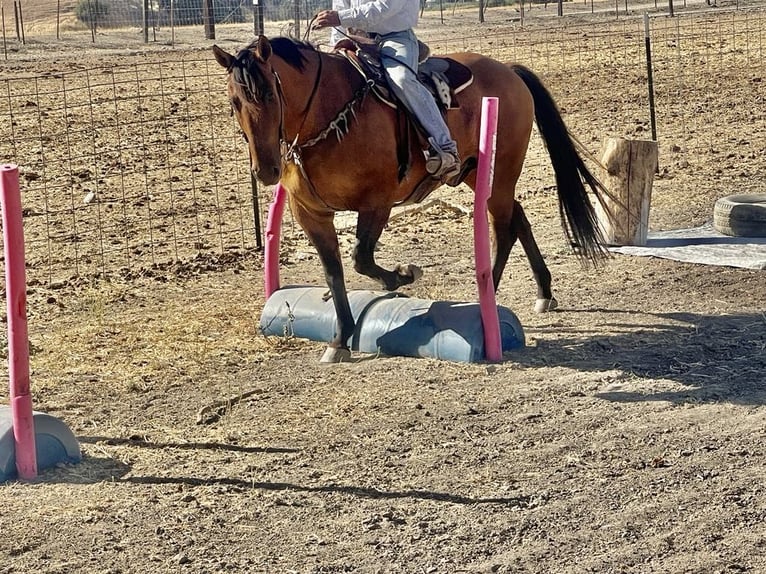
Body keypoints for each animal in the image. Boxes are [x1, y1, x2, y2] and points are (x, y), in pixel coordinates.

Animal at [213, 33, 608, 362]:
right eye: (234, 102)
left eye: (268, 93)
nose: (265, 170)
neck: (328, 114)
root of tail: (509, 71)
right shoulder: (310, 213)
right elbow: (334, 271)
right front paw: (340, 339)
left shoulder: (377, 203)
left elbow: (361, 258)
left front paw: (400, 277)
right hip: (481, 176)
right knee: (517, 217)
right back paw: (543, 291)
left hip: (499, 175)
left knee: (503, 229)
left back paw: (485, 302)